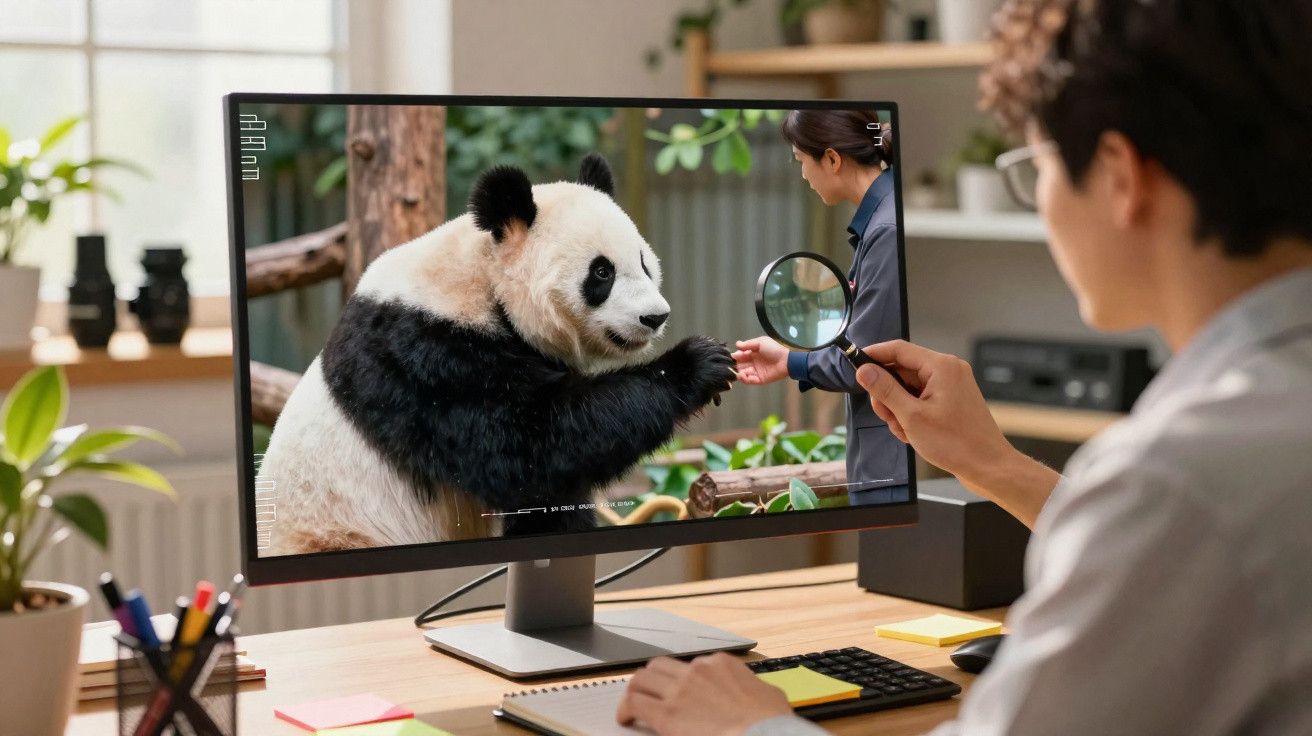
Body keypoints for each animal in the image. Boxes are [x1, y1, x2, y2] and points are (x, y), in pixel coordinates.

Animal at [260, 153, 736, 556]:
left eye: (643, 264)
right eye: (602, 272)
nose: (654, 317)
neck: (484, 278)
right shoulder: (427, 358)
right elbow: (528, 449)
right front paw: (698, 364)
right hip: (337, 531)